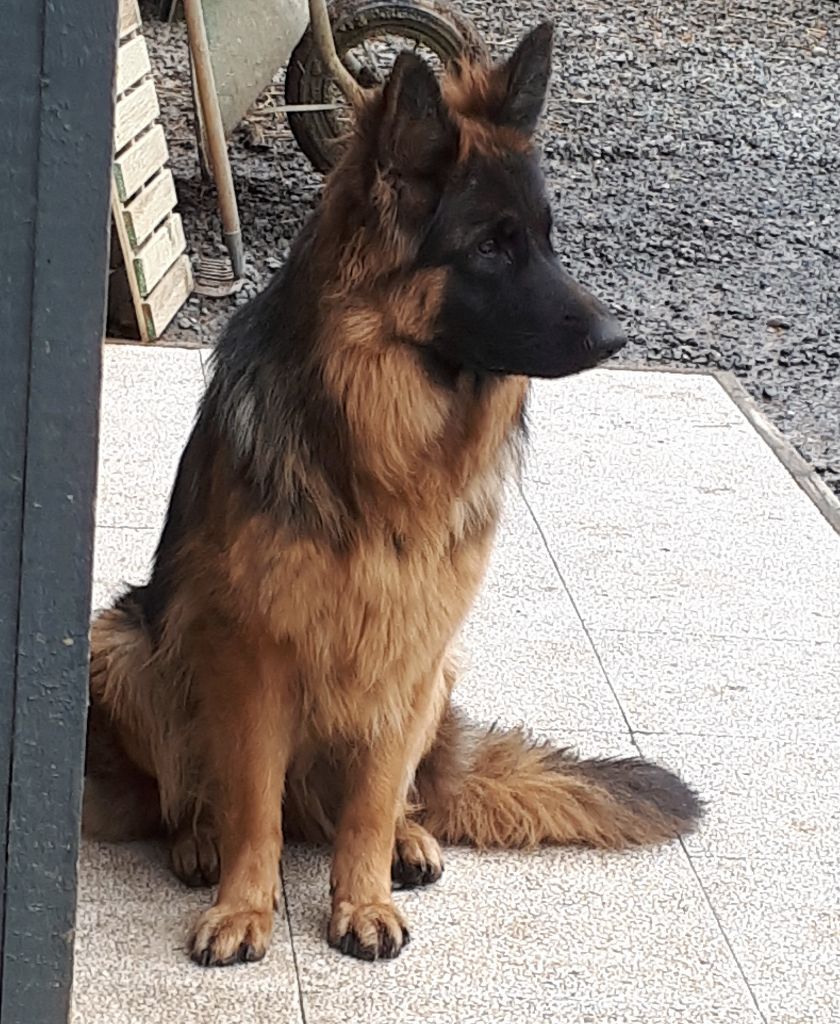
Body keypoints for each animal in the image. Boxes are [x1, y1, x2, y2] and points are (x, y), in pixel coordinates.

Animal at [85, 24, 700, 966]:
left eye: (548, 239)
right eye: (491, 245)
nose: (614, 336)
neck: (387, 435)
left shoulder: (409, 644)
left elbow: (372, 801)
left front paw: (363, 896)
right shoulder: (253, 653)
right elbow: (250, 800)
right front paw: (246, 906)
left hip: (437, 674)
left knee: (396, 792)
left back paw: (411, 836)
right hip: (126, 644)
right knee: (195, 792)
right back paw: (198, 840)